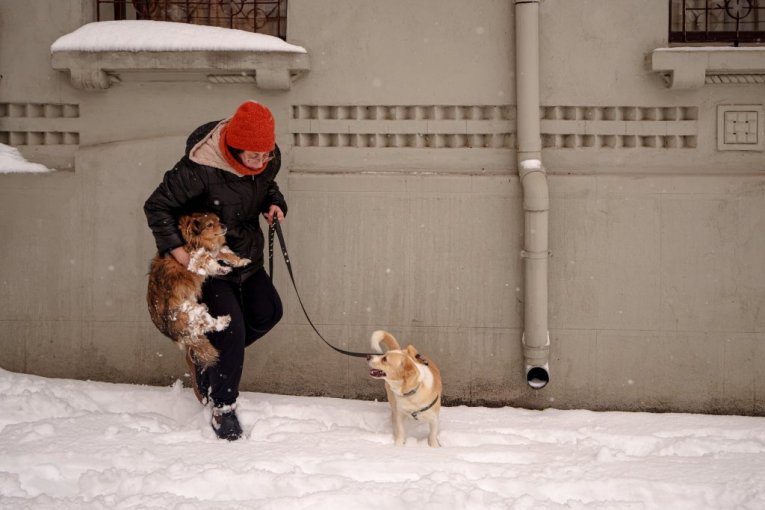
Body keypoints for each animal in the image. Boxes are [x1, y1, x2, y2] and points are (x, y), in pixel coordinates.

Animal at [147, 212, 250, 368]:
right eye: (209, 225)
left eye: (218, 220)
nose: (225, 226)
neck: (192, 239)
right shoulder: (196, 256)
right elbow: (208, 260)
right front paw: (222, 269)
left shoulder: (212, 249)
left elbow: (223, 253)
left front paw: (240, 261)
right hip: (190, 311)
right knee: (210, 325)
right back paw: (224, 320)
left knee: (207, 326)